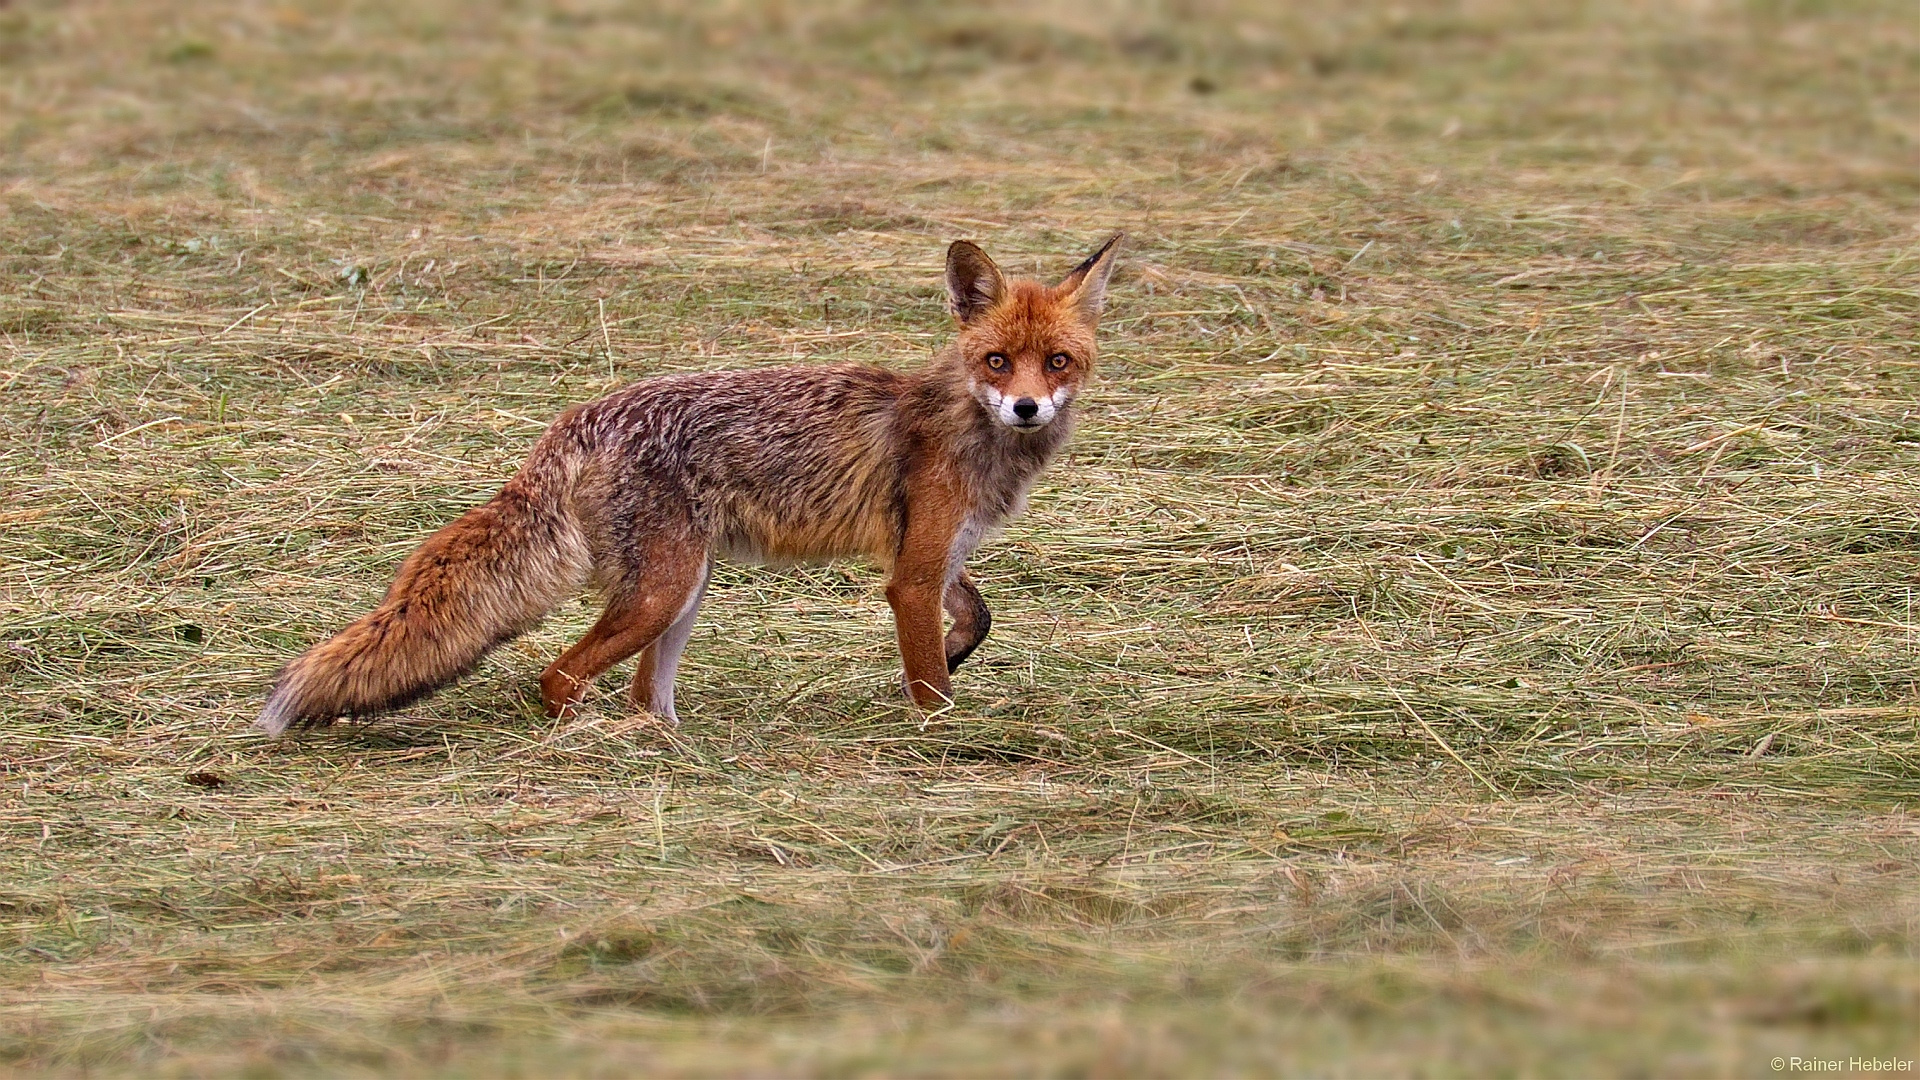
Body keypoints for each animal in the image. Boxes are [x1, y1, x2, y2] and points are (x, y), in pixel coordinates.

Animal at [257, 234, 1121, 730]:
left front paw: (951, 652)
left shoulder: (934, 552)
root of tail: (579, 416)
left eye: (1058, 362)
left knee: (643, 695)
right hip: (663, 591)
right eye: (997, 361)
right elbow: (932, 684)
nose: (1026, 407)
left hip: (684, 590)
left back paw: (664, 748)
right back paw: (596, 745)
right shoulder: (909, 573)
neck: (966, 425)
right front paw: (943, 736)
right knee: (557, 677)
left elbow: (977, 618)